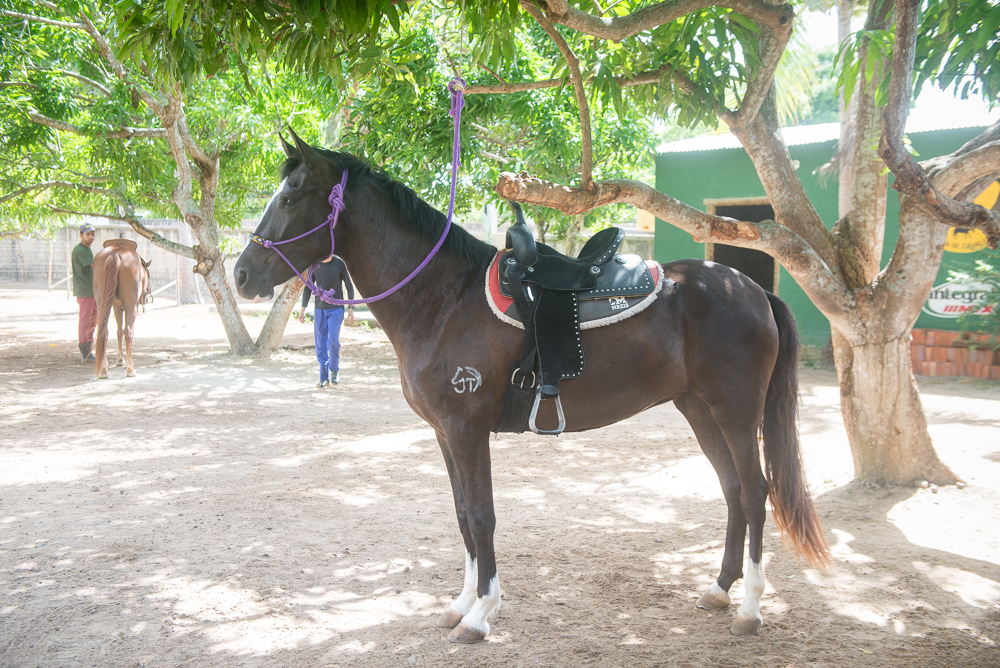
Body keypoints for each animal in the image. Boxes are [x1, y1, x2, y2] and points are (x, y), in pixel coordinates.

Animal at [92, 239, 150, 376]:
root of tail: (115, 253)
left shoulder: (116, 305)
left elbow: (119, 331)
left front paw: (119, 359)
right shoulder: (129, 306)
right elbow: (124, 331)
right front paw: (124, 361)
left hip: (101, 304)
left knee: (104, 332)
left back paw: (103, 369)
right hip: (130, 306)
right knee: (128, 332)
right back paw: (130, 369)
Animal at [232, 136, 828, 640]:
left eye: (291, 196)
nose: (241, 274)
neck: (444, 299)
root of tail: (751, 289)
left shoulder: (467, 428)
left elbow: (482, 516)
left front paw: (481, 614)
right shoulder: (445, 433)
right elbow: (462, 515)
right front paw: (461, 603)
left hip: (736, 411)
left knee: (754, 493)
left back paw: (750, 608)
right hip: (700, 410)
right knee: (731, 491)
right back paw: (719, 590)